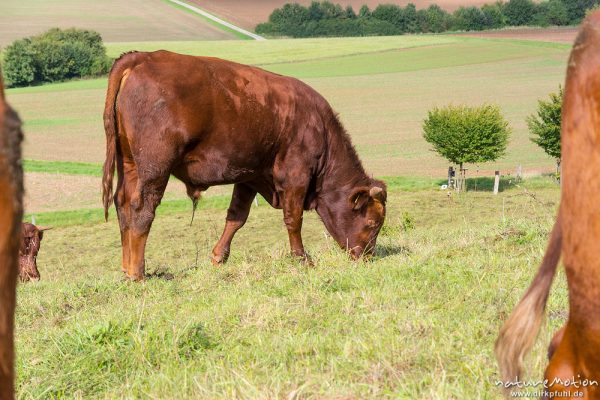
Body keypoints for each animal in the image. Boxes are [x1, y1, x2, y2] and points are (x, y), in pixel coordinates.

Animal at [101, 50, 386, 282]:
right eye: (373, 222)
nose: (367, 257)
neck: (319, 128)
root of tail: (141, 57)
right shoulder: (295, 176)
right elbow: (293, 220)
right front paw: (302, 259)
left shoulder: (249, 177)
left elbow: (236, 217)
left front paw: (218, 257)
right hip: (154, 169)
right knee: (141, 209)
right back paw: (138, 273)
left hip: (129, 164)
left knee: (122, 204)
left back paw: (127, 269)